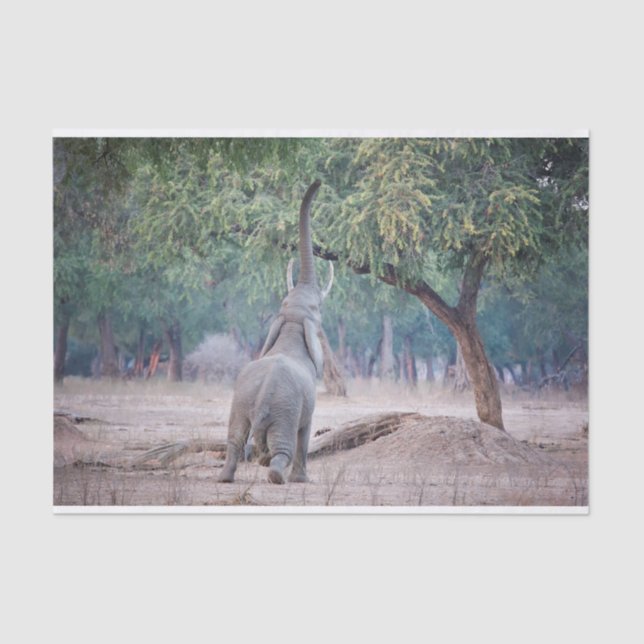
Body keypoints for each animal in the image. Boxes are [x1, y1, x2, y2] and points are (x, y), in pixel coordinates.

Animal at [219, 179, 333, 484]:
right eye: (317, 309)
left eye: (284, 302)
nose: (318, 181)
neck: (292, 323)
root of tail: (261, 402)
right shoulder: (308, 402)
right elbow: (306, 431)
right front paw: (302, 481)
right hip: (285, 411)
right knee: (285, 446)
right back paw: (277, 475)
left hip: (241, 403)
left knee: (234, 441)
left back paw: (226, 477)